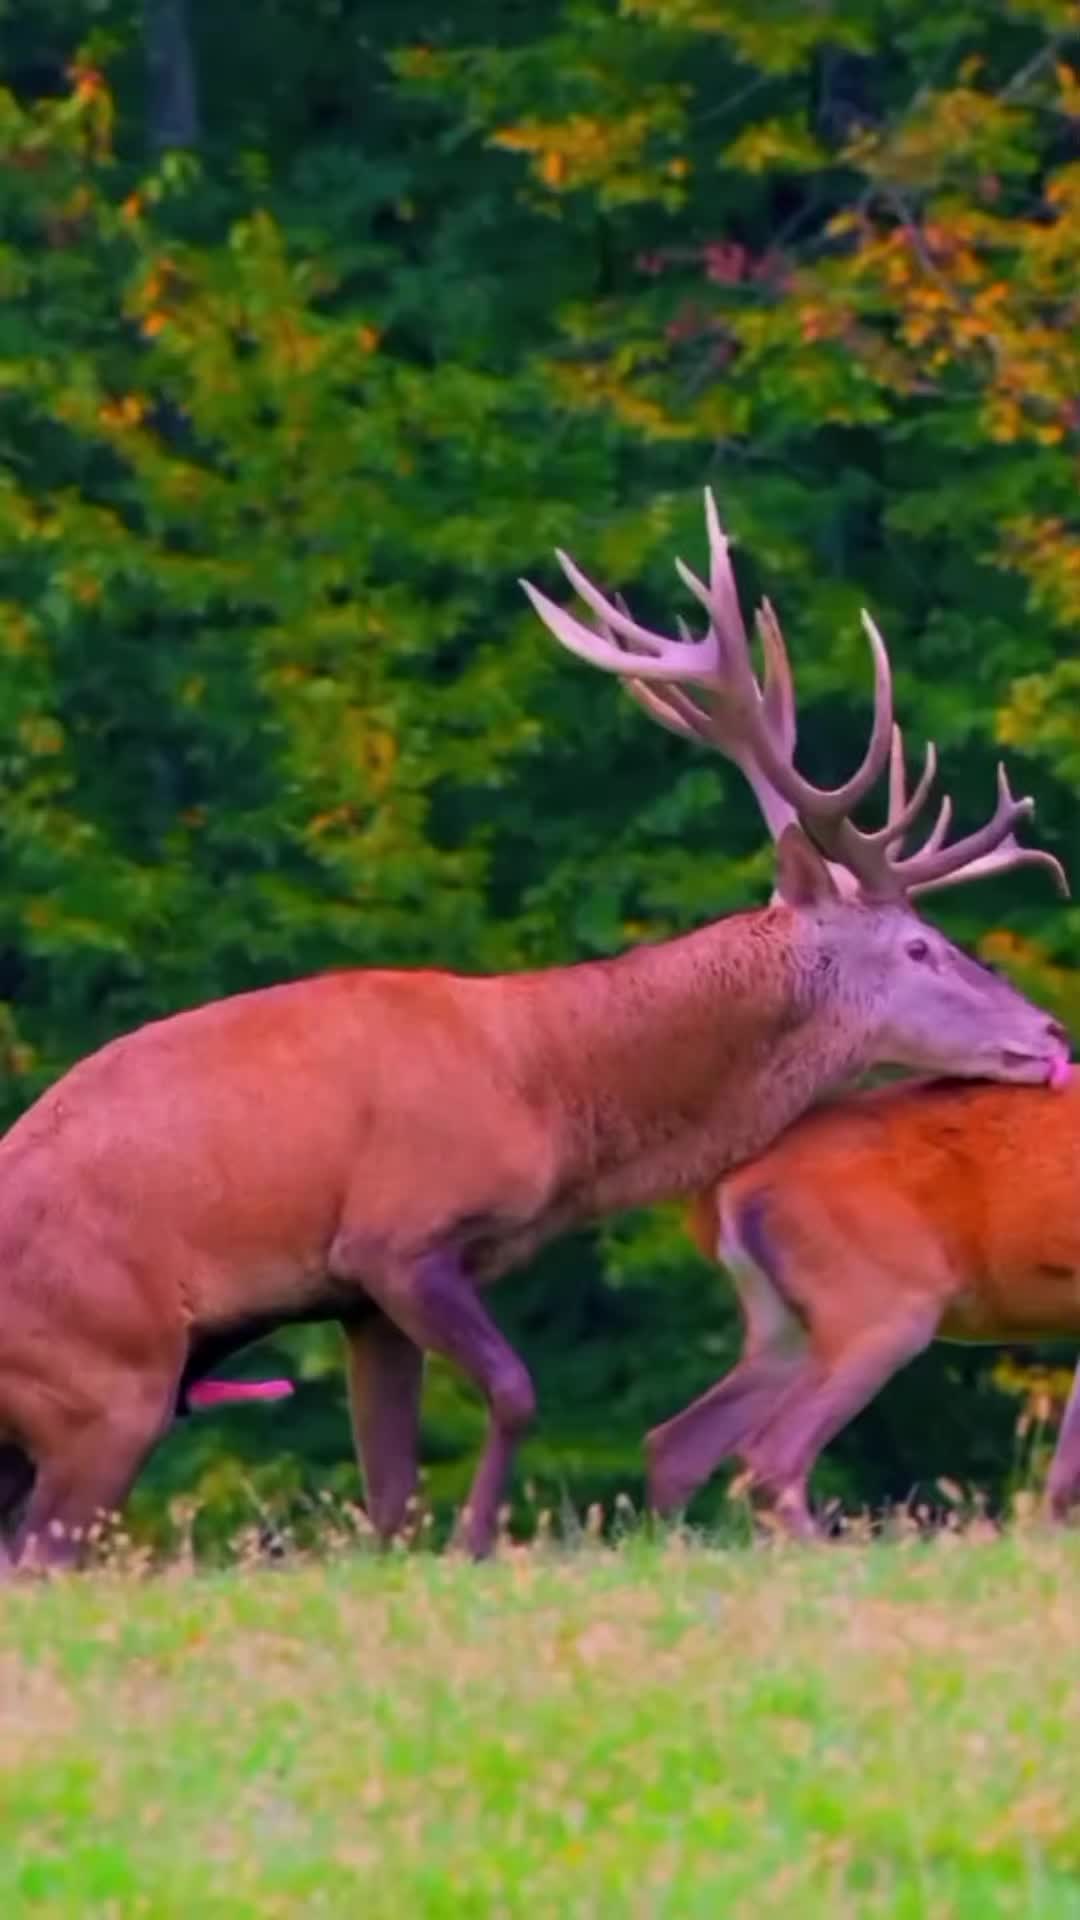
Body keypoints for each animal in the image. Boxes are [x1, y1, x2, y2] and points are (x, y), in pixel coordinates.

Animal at [0, 493, 1069, 1573]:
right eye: (921, 947)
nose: (1048, 1030)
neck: (550, 1088)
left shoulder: (357, 1295)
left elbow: (390, 1489)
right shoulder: (399, 1233)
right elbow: (515, 1394)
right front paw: (478, 1542)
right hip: (106, 1378)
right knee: (47, 1550)